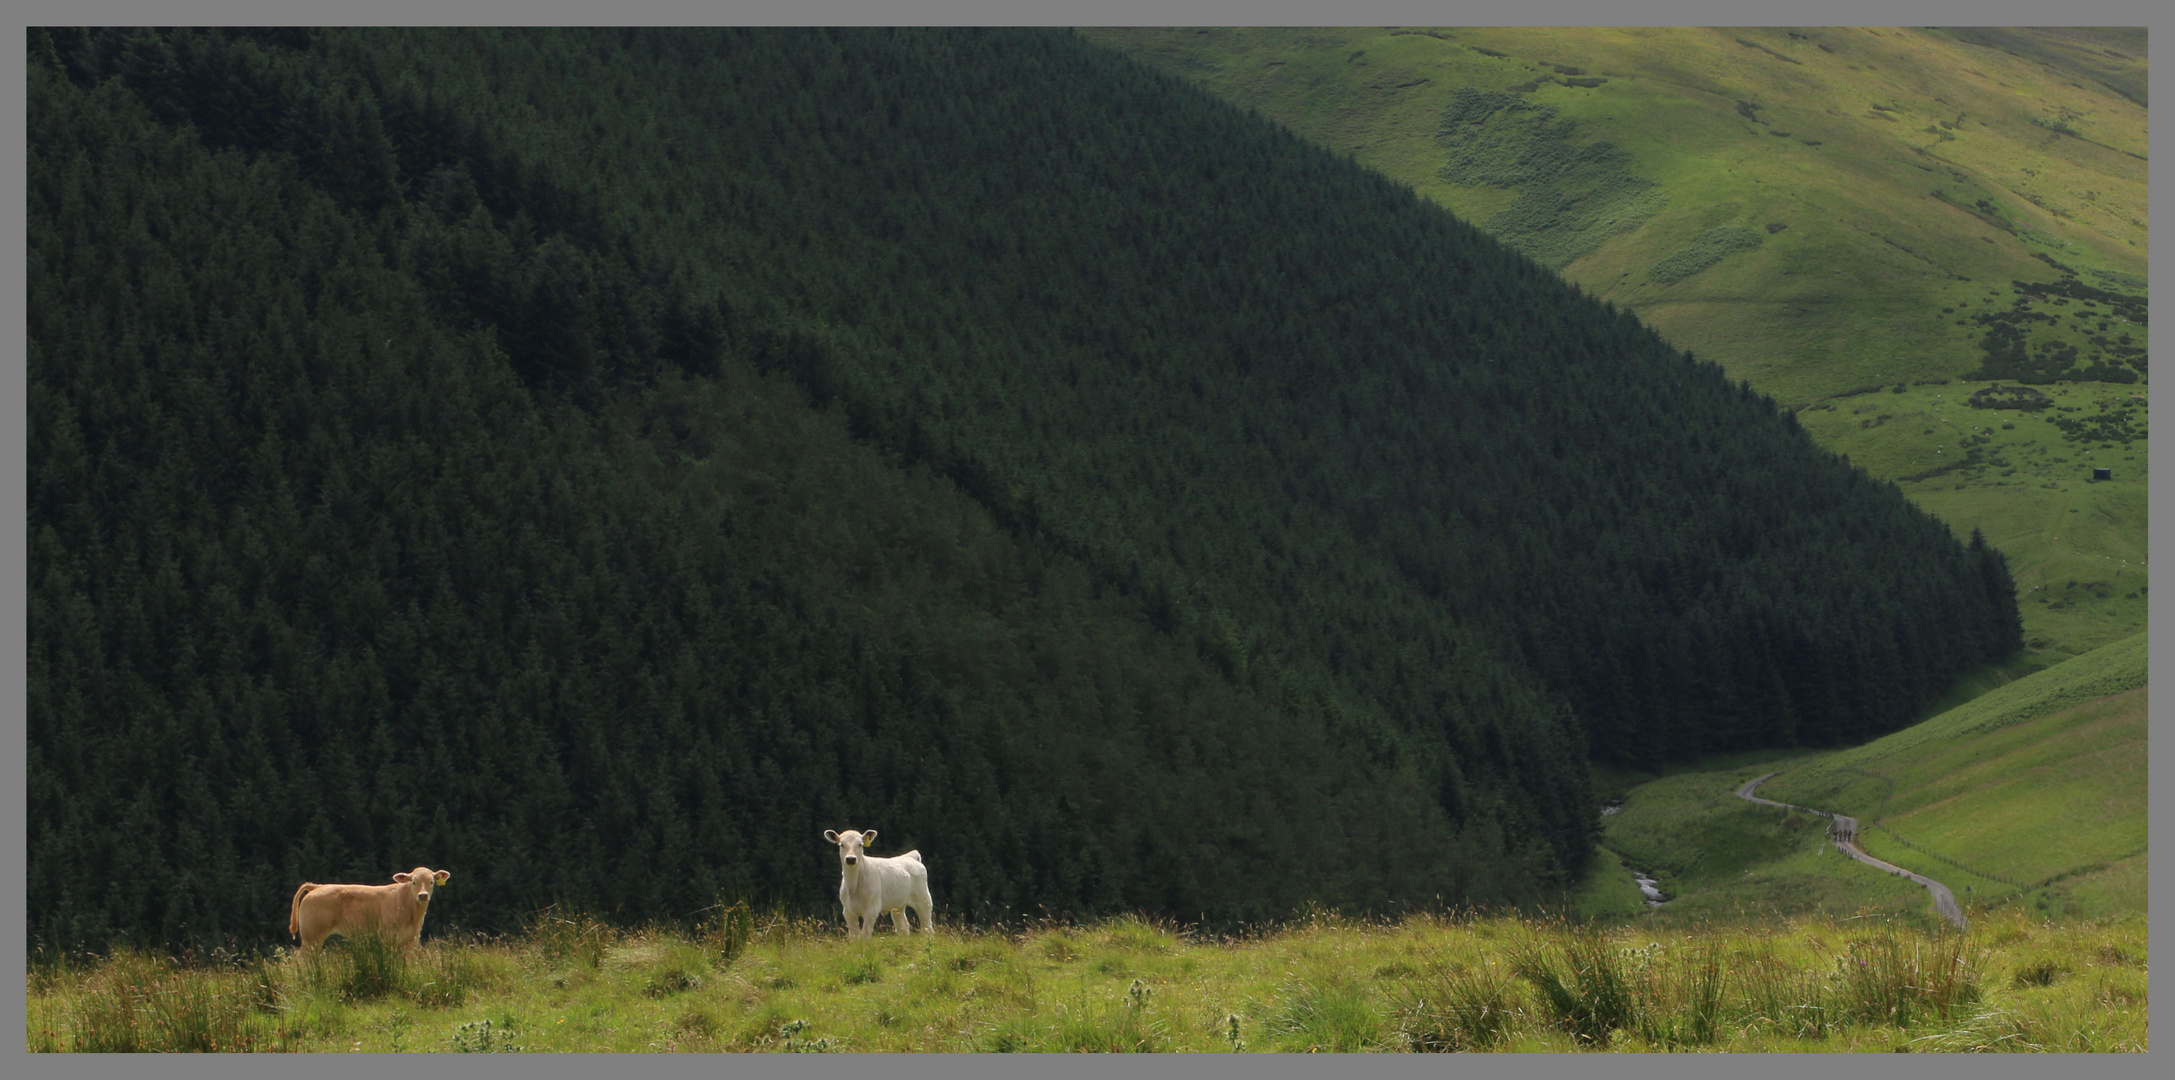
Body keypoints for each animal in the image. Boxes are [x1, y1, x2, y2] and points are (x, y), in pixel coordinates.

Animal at [289, 869, 450, 951]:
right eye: (414, 882)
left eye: (431, 882)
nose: (423, 895)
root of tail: (317, 886)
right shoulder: (388, 936)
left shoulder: (412, 938)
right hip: (311, 936)